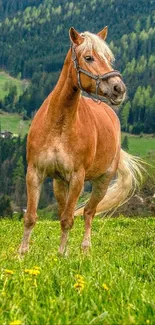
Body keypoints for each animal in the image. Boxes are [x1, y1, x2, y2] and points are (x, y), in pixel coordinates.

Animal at [18, 25, 142, 254]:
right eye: (89, 57)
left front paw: (61, 255)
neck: (58, 126)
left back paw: (85, 249)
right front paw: (22, 254)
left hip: (102, 182)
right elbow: (31, 217)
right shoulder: (34, 173)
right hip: (59, 183)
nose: (119, 89)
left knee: (88, 213)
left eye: (108, 58)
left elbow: (68, 220)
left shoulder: (77, 178)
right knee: (64, 208)